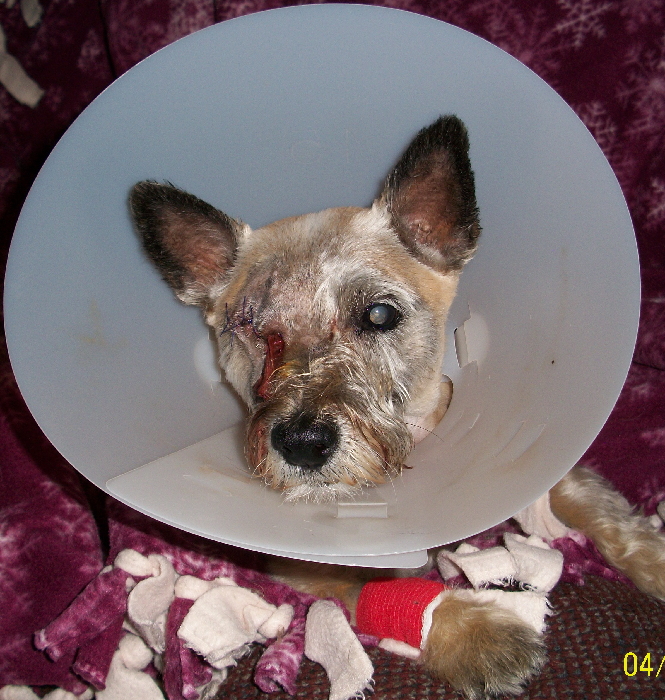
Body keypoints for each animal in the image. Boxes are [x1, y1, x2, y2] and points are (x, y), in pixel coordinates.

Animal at [130, 116, 665, 698]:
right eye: (251, 327)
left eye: (379, 314)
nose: (302, 443)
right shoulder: (316, 568)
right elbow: (393, 596)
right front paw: (479, 637)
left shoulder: (547, 467)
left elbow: (598, 508)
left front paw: (654, 556)